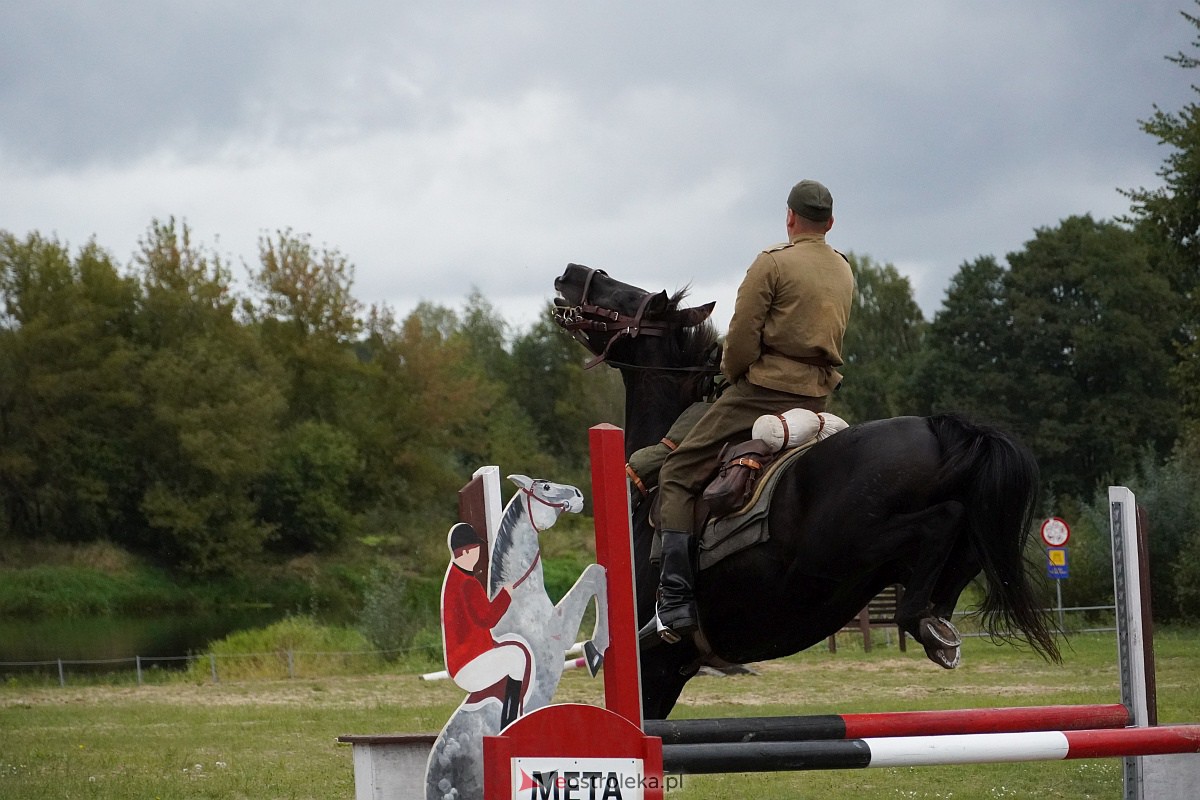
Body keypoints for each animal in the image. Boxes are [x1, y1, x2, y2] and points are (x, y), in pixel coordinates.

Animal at [552, 262, 1060, 719]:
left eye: (625, 298)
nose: (570, 272)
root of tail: (937, 428)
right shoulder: (674, 669)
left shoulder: (657, 666)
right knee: (965, 546)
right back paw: (936, 622)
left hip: (847, 546)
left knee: (944, 521)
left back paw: (921, 618)